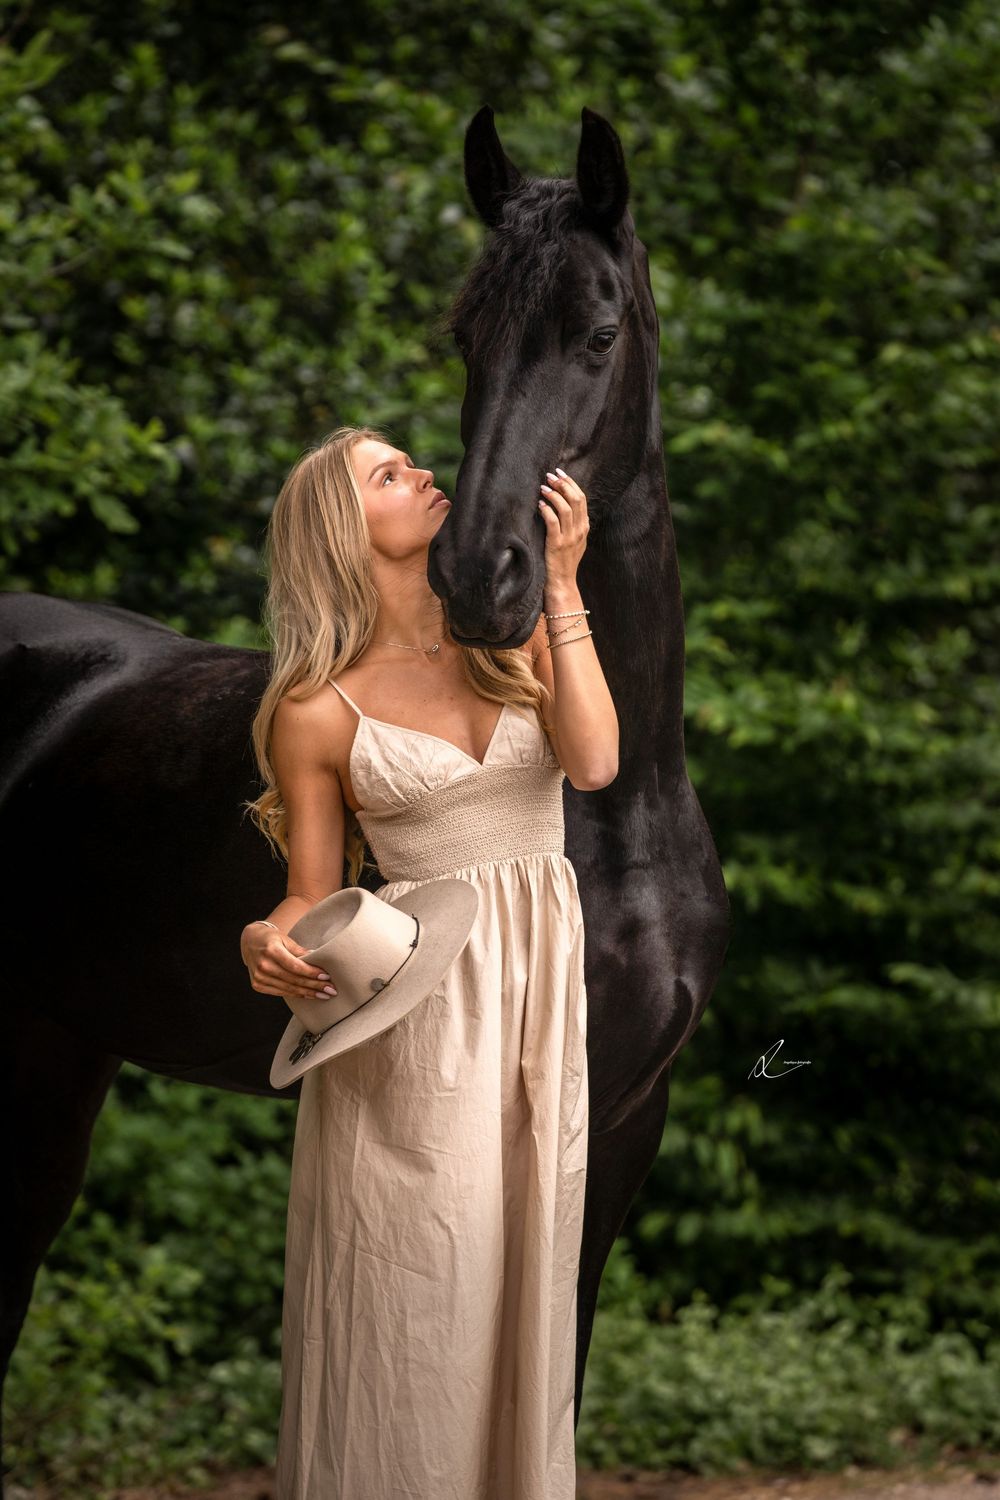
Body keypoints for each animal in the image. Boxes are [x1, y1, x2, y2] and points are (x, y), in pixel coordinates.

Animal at [0, 104, 730, 1491]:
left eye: (598, 332)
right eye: (465, 334)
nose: (481, 575)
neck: (615, 817)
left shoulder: (624, 1121)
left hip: (56, 1062)